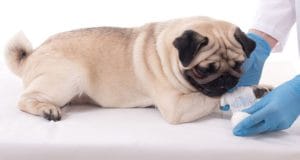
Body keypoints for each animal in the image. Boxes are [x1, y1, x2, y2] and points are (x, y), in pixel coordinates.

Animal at [5, 16, 262, 123]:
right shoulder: (176, 107)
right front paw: (242, 94)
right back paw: (47, 109)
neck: (167, 53)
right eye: (204, 70)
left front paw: (261, 89)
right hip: (68, 77)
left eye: (239, 65)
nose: (227, 79)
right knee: (25, 99)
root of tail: (32, 54)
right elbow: (210, 98)